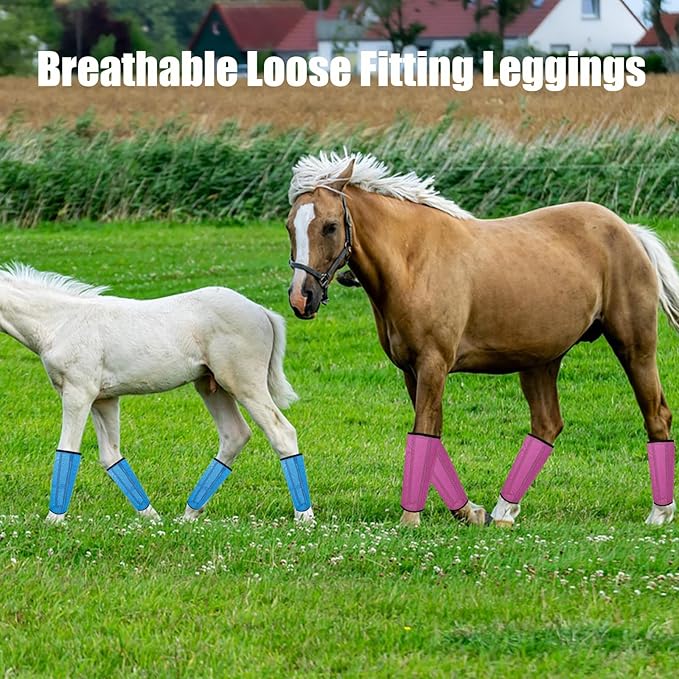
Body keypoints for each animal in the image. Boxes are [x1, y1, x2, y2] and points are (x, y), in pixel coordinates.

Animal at [0, 264, 314, 523]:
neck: (60, 323)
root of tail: (262, 311)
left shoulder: (78, 394)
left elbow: (67, 449)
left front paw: (53, 520)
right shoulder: (103, 399)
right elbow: (111, 456)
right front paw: (151, 517)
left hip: (244, 384)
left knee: (281, 433)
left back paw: (304, 517)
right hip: (211, 387)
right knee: (235, 435)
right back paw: (189, 513)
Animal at [285, 151, 677, 528]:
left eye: (330, 226)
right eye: (290, 226)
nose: (301, 298)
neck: (413, 261)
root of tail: (627, 230)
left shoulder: (433, 365)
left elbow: (423, 432)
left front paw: (410, 518)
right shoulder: (411, 371)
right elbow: (433, 437)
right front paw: (469, 512)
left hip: (635, 348)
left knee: (656, 414)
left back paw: (659, 514)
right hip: (540, 361)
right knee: (547, 425)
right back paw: (504, 512)